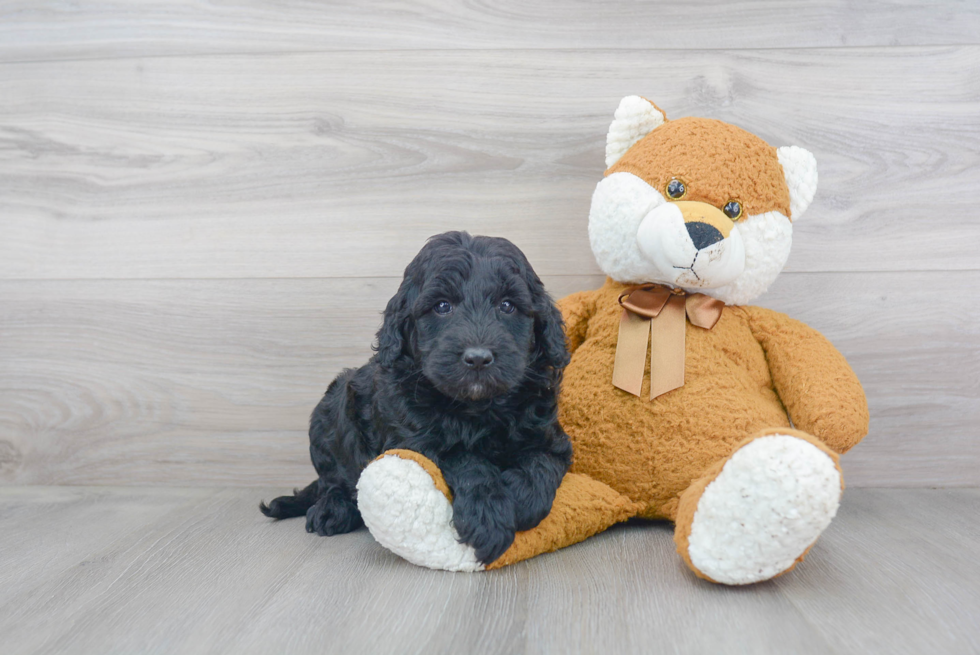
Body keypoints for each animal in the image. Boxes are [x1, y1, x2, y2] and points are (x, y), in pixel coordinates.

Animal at [260, 233, 576, 568]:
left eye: (507, 305)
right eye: (442, 306)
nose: (478, 358)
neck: (476, 407)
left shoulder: (550, 436)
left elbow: (542, 462)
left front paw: (522, 498)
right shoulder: (414, 440)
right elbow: (465, 458)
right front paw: (487, 516)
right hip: (332, 405)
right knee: (333, 478)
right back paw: (332, 509)